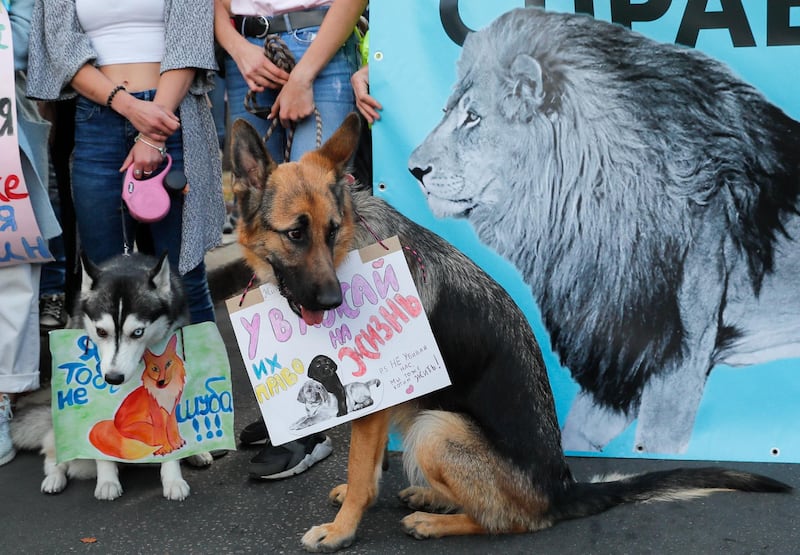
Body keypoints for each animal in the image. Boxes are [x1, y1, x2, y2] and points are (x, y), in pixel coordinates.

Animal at [13, 254, 212, 502]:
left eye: (138, 332)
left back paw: (198, 453)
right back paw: (54, 478)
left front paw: (173, 479)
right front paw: (107, 481)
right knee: (54, 455)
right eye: (101, 332)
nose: (113, 378)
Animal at [228, 114, 792, 552]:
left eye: (330, 232)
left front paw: (342, 529)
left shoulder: (376, 406)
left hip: (436, 428)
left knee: (512, 521)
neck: (351, 246)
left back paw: (435, 520)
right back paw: (432, 496)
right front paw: (351, 494)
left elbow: (363, 466)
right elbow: (367, 469)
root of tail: (561, 489)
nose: (332, 302)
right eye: (296, 234)